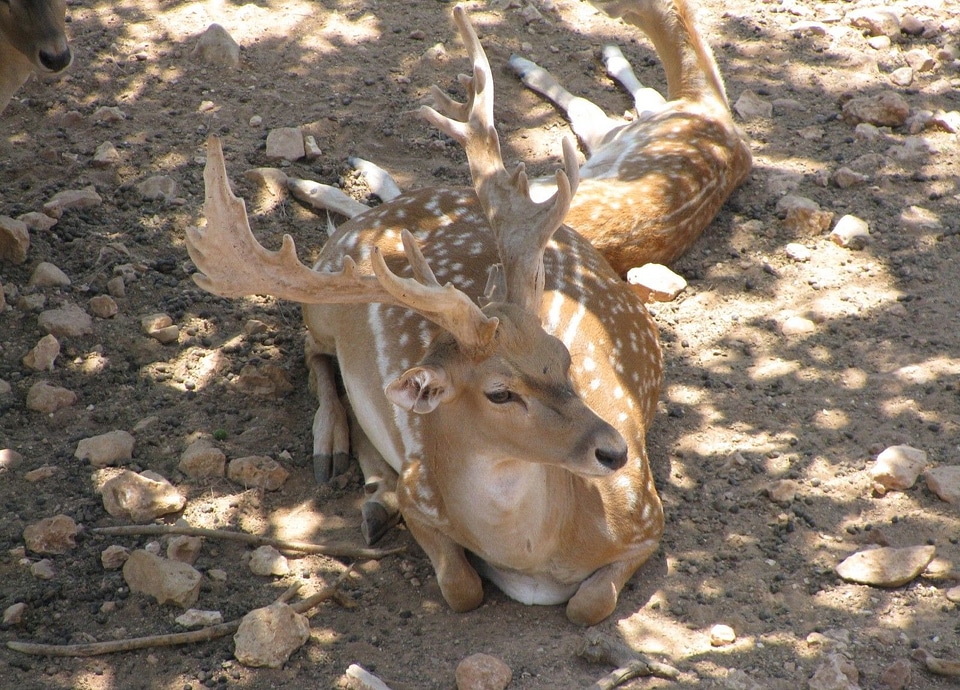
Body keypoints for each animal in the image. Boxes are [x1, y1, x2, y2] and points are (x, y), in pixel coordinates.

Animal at [188, 8, 668, 628]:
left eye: (562, 358)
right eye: (499, 393)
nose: (614, 450)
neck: (541, 552)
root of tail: (388, 210)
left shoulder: (647, 515)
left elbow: (588, 603)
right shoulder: (424, 495)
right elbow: (461, 588)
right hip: (322, 301)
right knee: (312, 351)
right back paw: (337, 455)